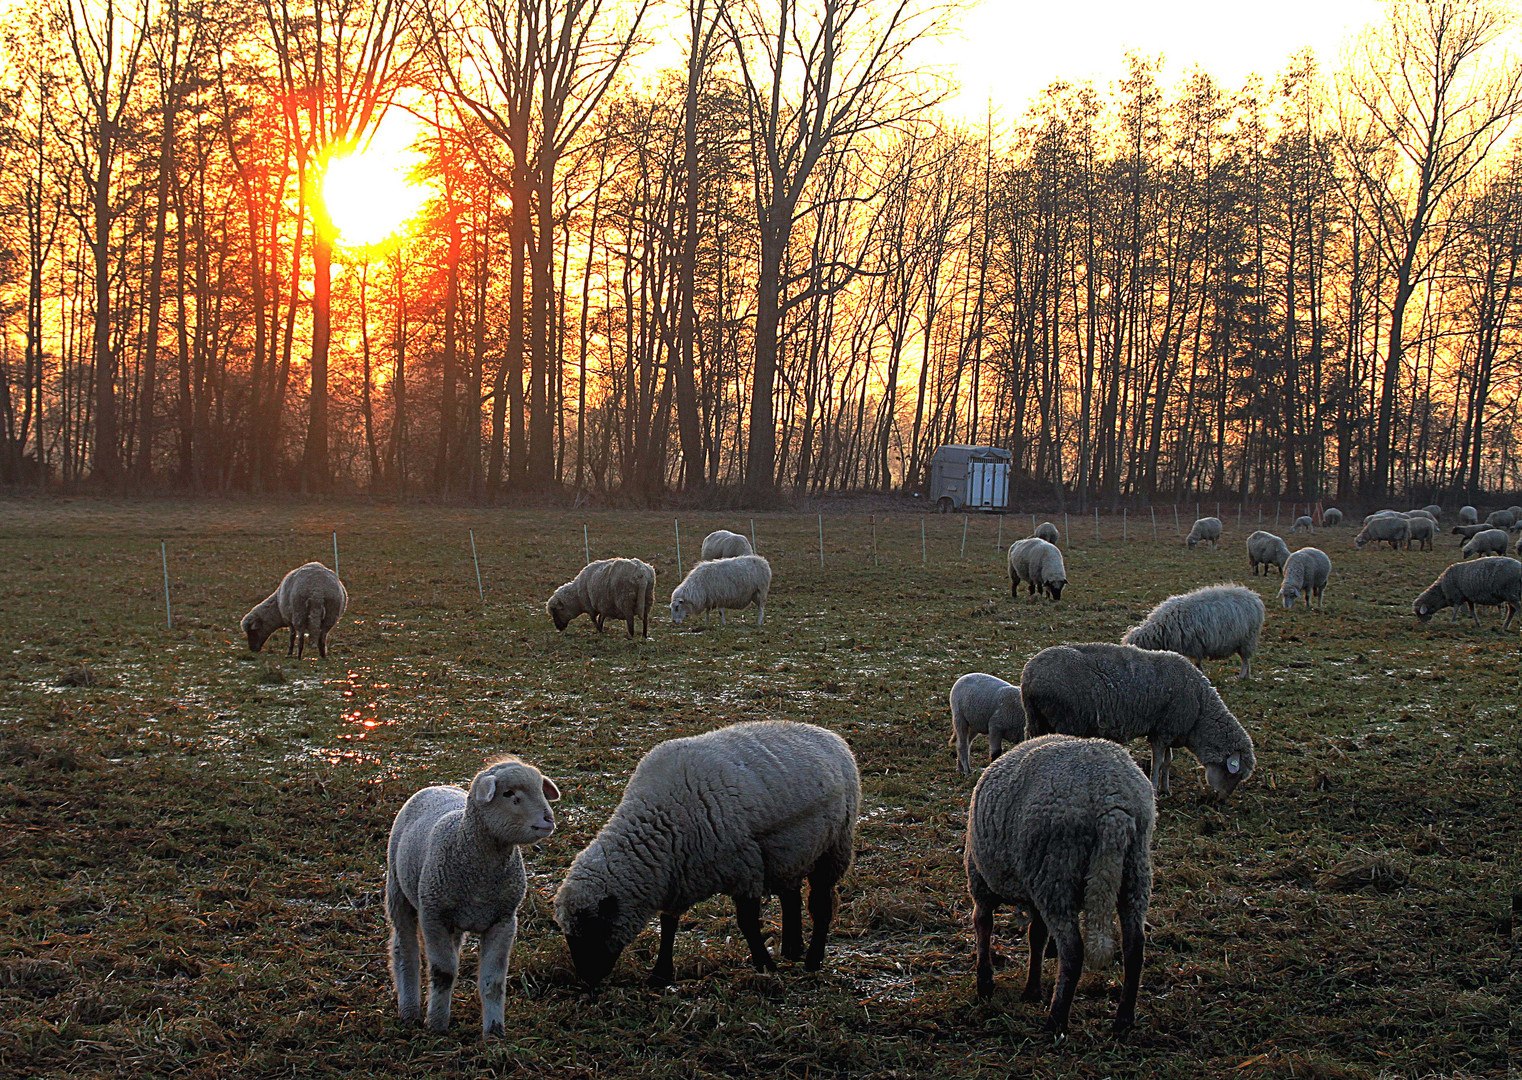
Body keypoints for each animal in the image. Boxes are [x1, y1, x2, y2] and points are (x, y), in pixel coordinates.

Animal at [389, 757, 563, 1034]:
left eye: (540, 789)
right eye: (508, 793)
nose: (548, 819)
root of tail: (437, 786)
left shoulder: (503, 921)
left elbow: (494, 981)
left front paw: (494, 1032)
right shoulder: (433, 916)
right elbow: (443, 973)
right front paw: (436, 1026)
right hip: (398, 891)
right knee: (405, 950)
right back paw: (409, 1010)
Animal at [554, 717, 858, 991]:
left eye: (593, 929)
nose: (588, 980)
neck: (663, 821)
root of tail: (831, 736)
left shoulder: (745, 870)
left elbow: (747, 923)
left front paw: (765, 966)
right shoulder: (677, 876)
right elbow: (668, 924)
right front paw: (660, 974)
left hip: (834, 848)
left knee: (820, 905)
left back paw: (813, 960)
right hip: (792, 854)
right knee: (790, 895)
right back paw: (792, 948)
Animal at [961, 736, 1150, 1040]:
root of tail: (1112, 801)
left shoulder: (981, 881)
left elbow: (983, 925)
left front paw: (985, 982)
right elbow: (1036, 936)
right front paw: (1032, 990)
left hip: (1056, 873)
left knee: (1072, 950)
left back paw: (1055, 1021)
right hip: (1134, 870)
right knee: (1134, 945)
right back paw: (1123, 1019)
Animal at [1016, 641, 1254, 803]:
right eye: (1234, 774)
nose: (1222, 800)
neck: (1200, 713)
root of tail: (1029, 675)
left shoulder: (1165, 730)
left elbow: (1168, 761)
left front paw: (1166, 789)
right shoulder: (1163, 732)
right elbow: (1158, 762)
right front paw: (1155, 788)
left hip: (1035, 718)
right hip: (1066, 720)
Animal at [1126, 587, 1266, 681]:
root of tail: (1254, 597)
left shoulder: (1196, 645)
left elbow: (1198, 664)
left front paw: (1201, 675)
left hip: (1247, 639)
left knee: (1245, 660)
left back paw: (1242, 675)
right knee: (1246, 659)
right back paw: (1246, 676)